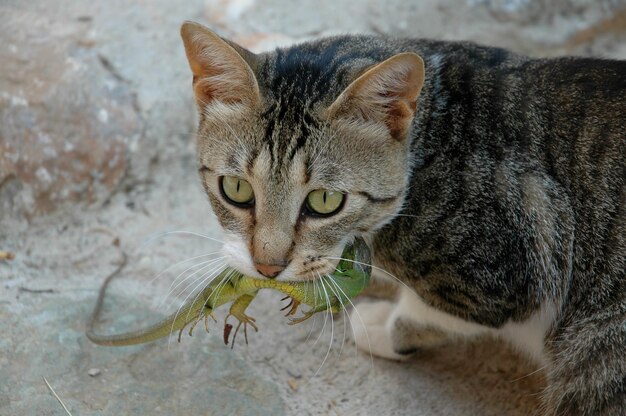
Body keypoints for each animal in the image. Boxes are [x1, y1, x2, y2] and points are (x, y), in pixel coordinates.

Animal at [178, 22, 620, 416]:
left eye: (325, 200)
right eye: (236, 189)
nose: (267, 268)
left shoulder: (508, 273)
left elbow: (428, 312)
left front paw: (377, 324)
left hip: (596, 348)